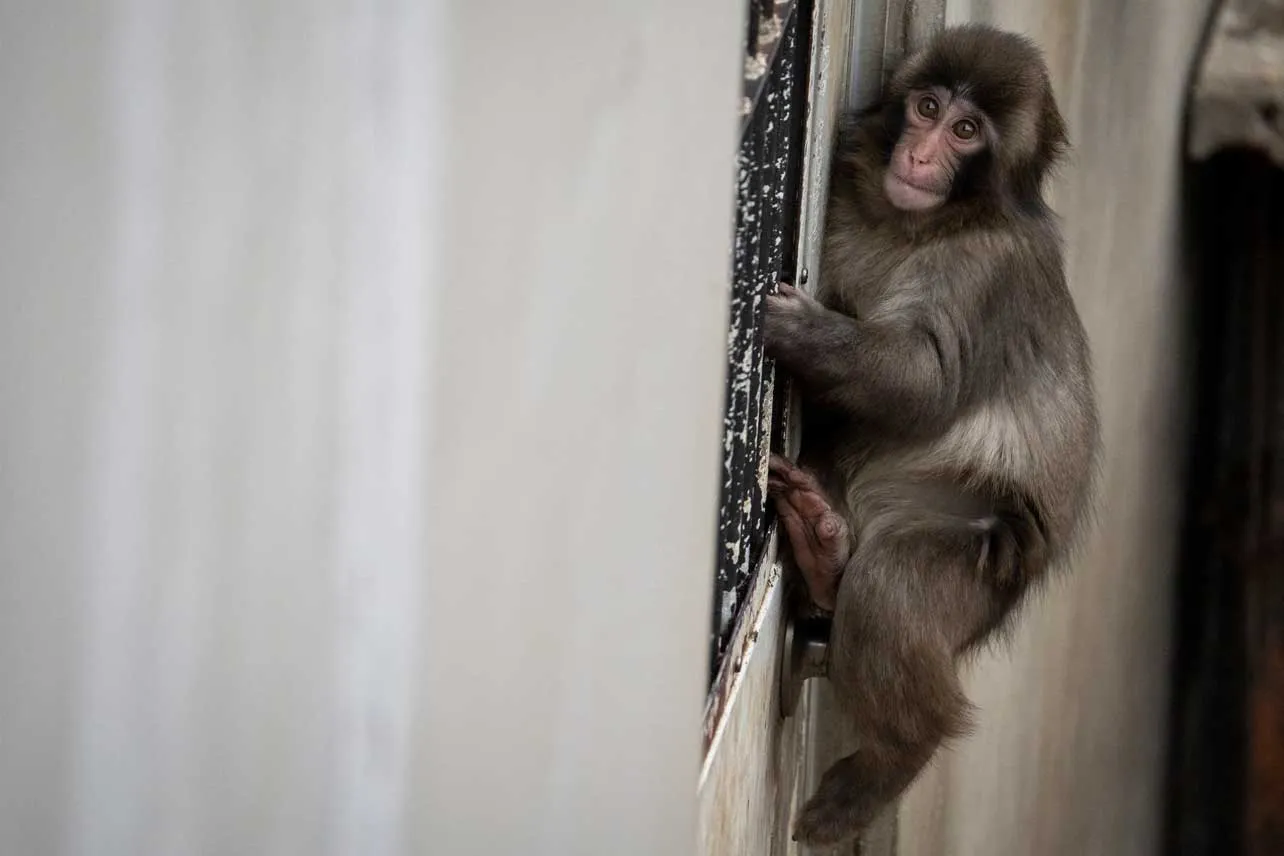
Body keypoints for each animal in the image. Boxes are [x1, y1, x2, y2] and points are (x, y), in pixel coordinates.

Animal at [763, 25, 1099, 847]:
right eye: (926, 108)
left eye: (966, 131)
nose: (920, 156)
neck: (920, 223)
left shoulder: (985, 270)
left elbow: (922, 382)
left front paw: (804, 332)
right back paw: (825, 552)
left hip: (983, 566)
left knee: (892, 585)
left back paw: (893, 757)